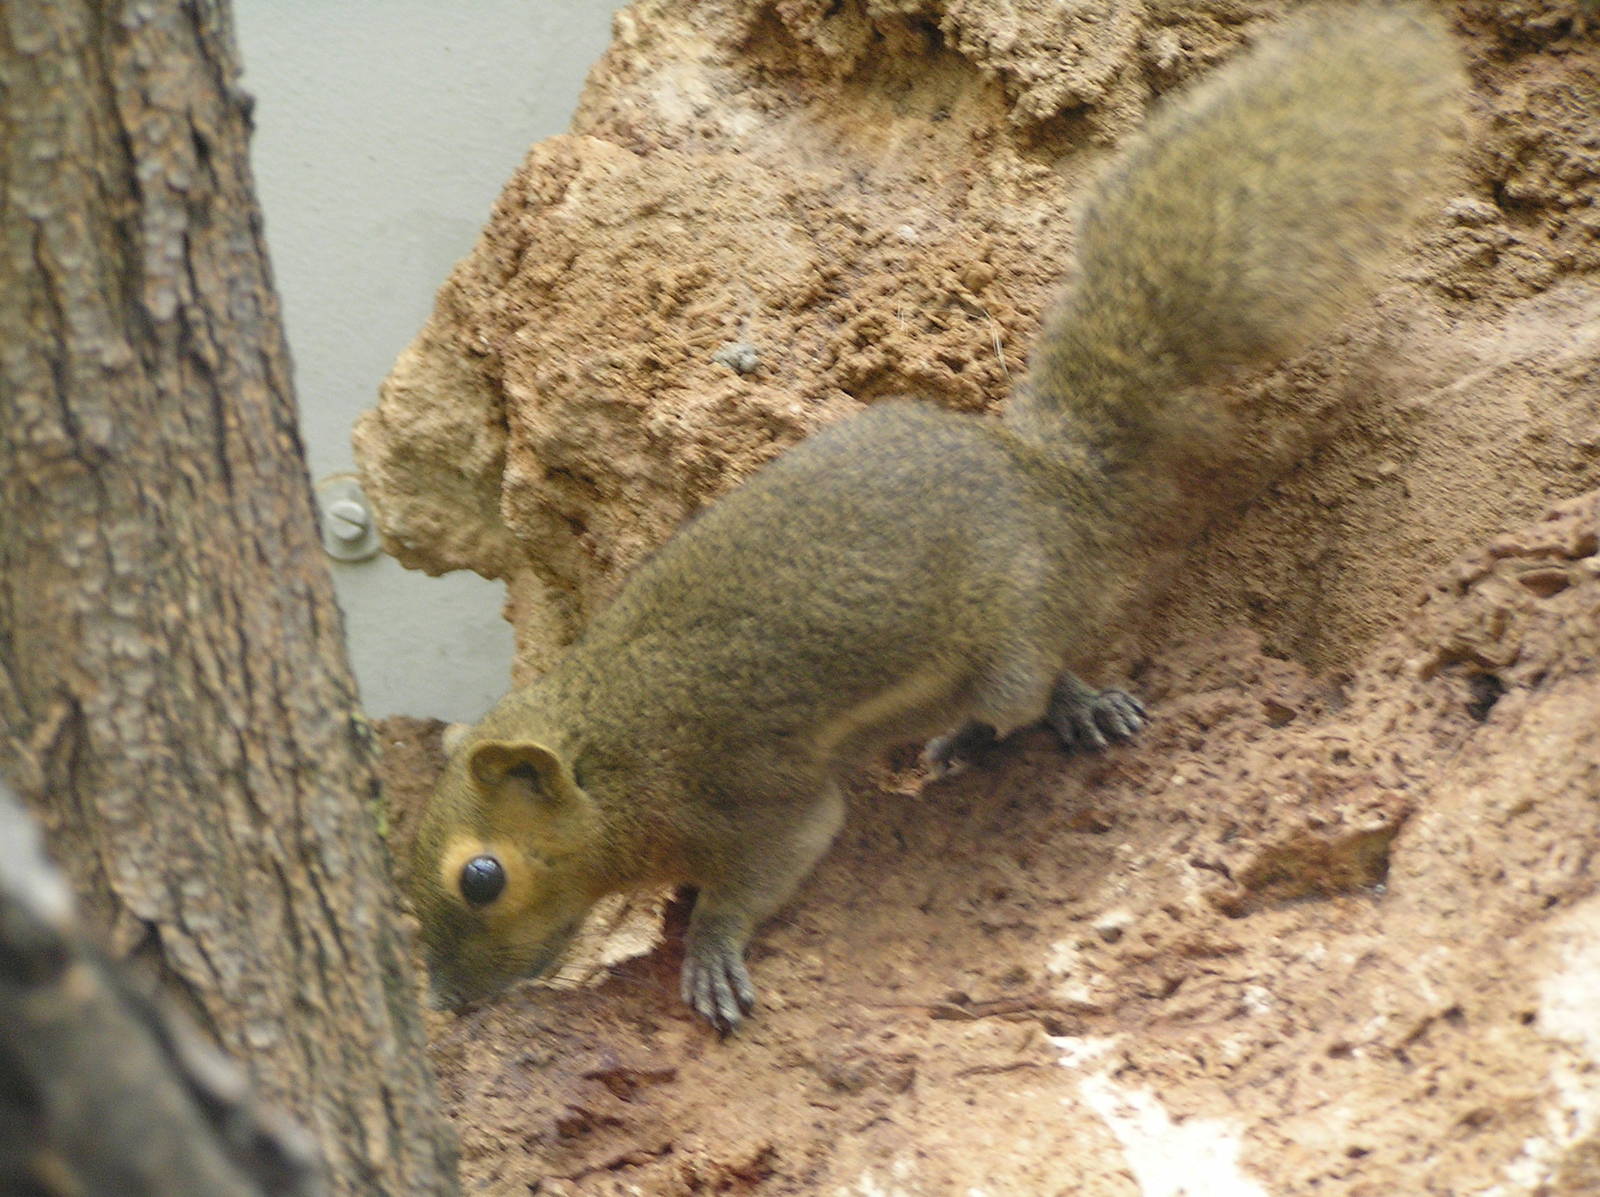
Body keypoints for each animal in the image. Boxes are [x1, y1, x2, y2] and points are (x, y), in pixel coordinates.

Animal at [407, 4, 1464, 1033]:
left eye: (483, 875)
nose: (451, 1005)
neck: (617, 745)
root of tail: (1052, 470)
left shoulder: (756, 797)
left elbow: (766, 870)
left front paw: (709, 950)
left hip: (1014, 636)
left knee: (1041, 677)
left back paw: (1069, 708)